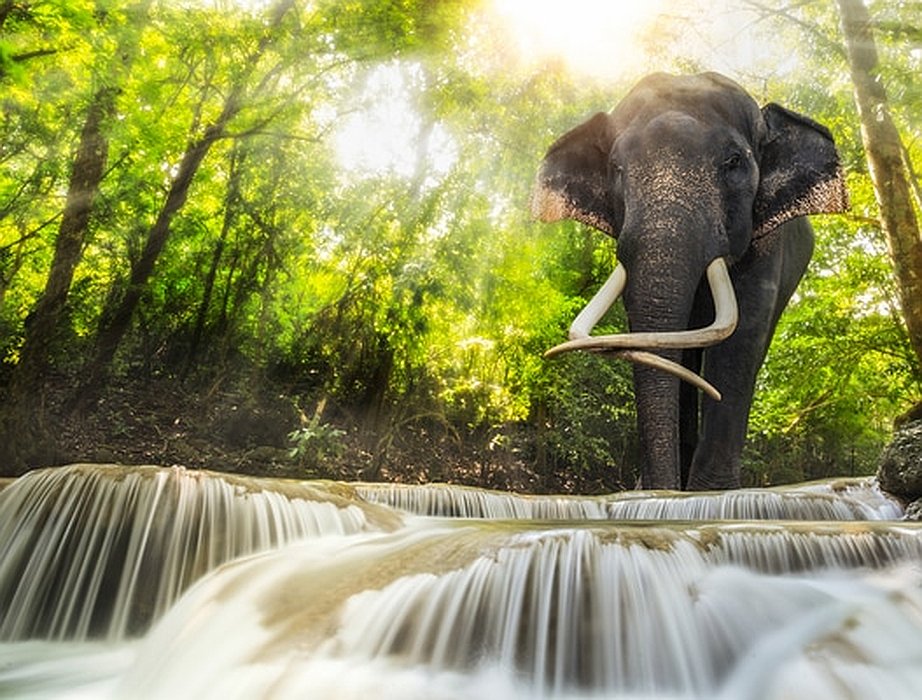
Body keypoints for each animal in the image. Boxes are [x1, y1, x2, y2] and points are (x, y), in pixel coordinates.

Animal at [531, 72, 848, 491]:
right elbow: (657, 340)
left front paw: (711, 494)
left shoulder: (766, 243)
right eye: (616, 168)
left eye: (734, 162)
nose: (653, 489)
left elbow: (741, 336)